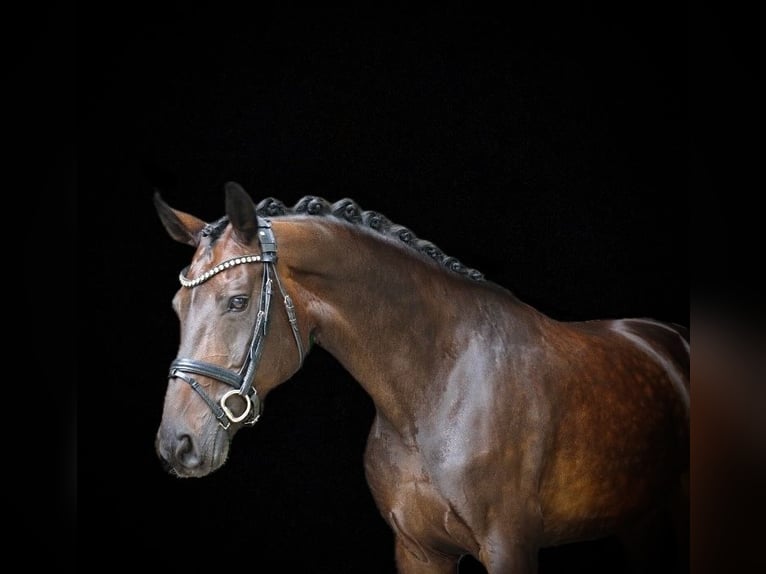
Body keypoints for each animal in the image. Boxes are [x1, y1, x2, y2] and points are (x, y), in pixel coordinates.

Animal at [152, 182, 688, 572]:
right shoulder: (418, 549)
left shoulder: (510, 548)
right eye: (176, 306)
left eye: (237, 301)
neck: (437, 388)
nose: (176, 443)